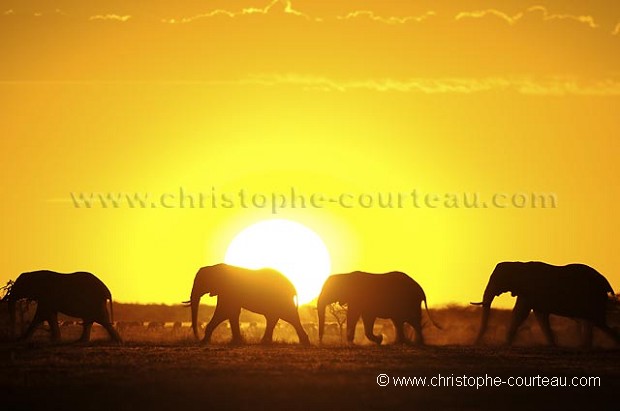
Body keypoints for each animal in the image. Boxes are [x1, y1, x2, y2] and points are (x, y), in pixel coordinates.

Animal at [472, 262, 616, 346]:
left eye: (497, 280)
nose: (476, 343)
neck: (519, 264)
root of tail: (606, 283)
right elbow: (539, 315)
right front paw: (552, 345)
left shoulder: (529, 291)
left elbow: (520, 313)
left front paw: (505, 344)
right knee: (595, 323)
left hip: (593, 298)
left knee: (597, 322)